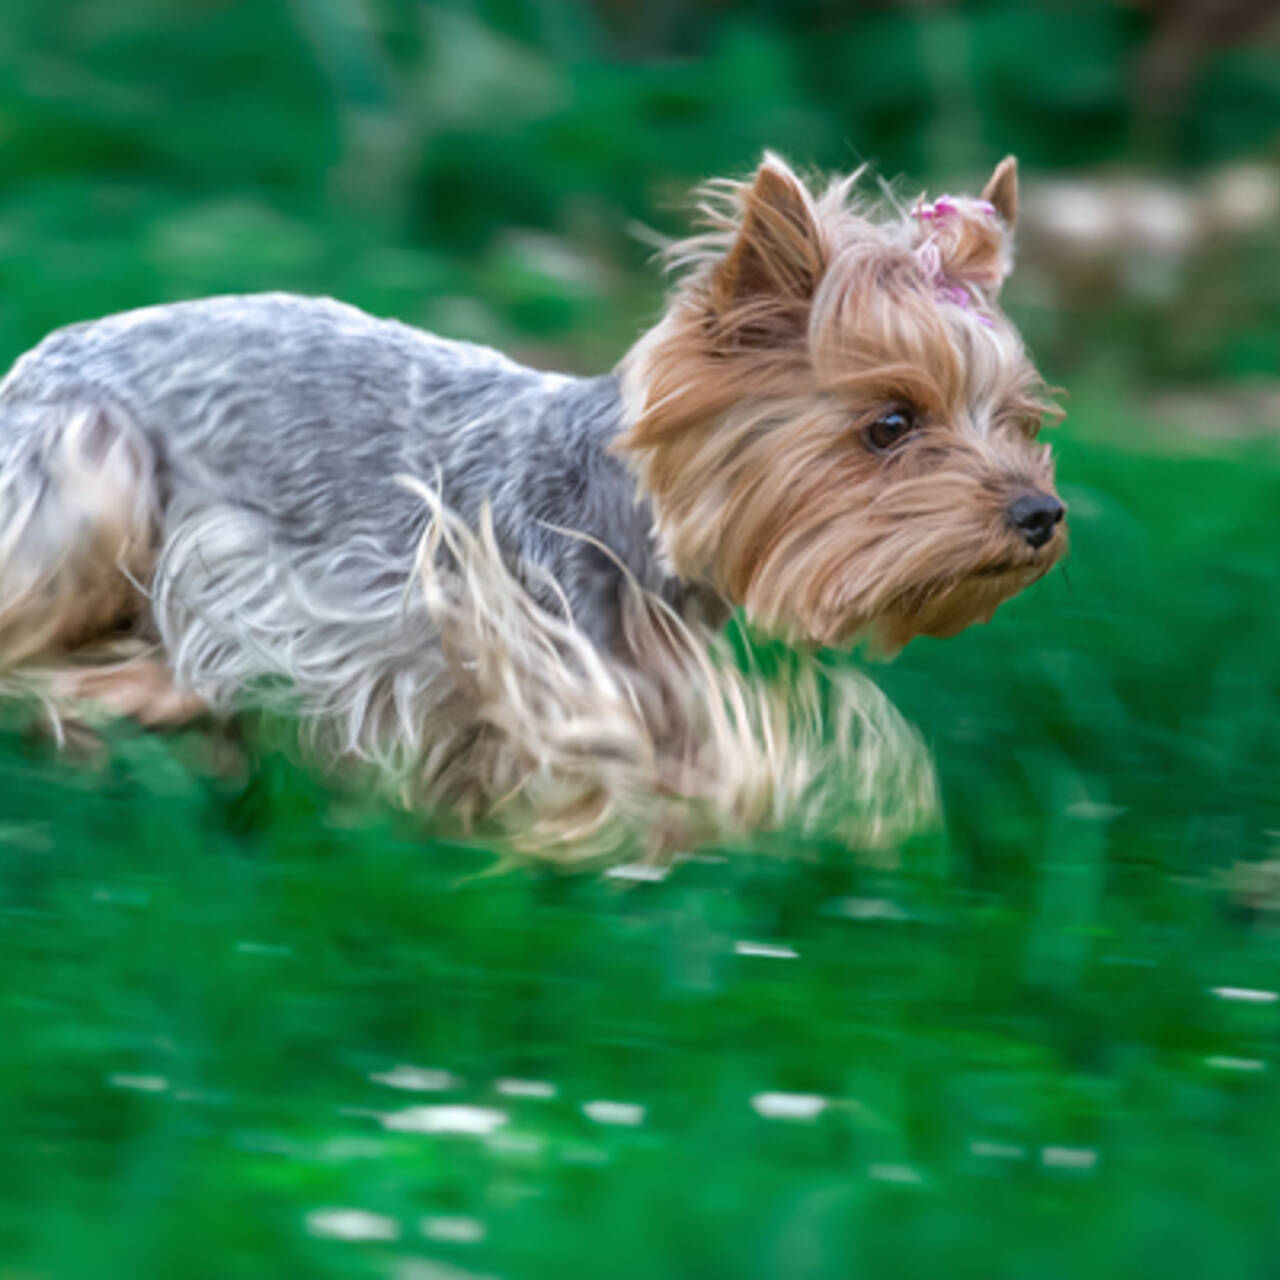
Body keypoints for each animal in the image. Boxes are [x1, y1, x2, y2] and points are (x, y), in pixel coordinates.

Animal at [0, 157, 1064, 860]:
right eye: (890, 422)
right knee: (36, 649)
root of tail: (28, 363)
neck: (626, 520)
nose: (1041, 514)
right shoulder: (461, 636)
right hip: (89, 467)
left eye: (1019, 421)